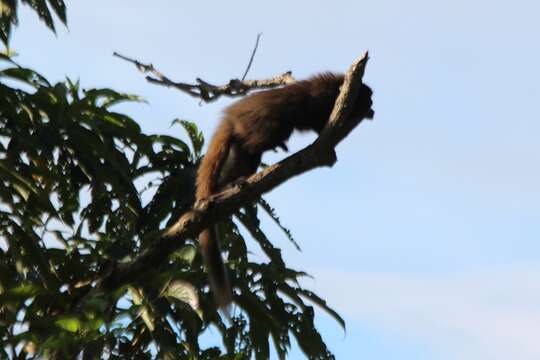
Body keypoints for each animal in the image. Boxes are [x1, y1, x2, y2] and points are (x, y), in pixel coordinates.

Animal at [195, 71, 376, 308]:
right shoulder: (324, 99)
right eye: (368, 97)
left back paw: (226, 186)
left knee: (246, 153)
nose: (372, 105)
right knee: (263, 138)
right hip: (258, 123)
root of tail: (231, 117)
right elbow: (318, 118)